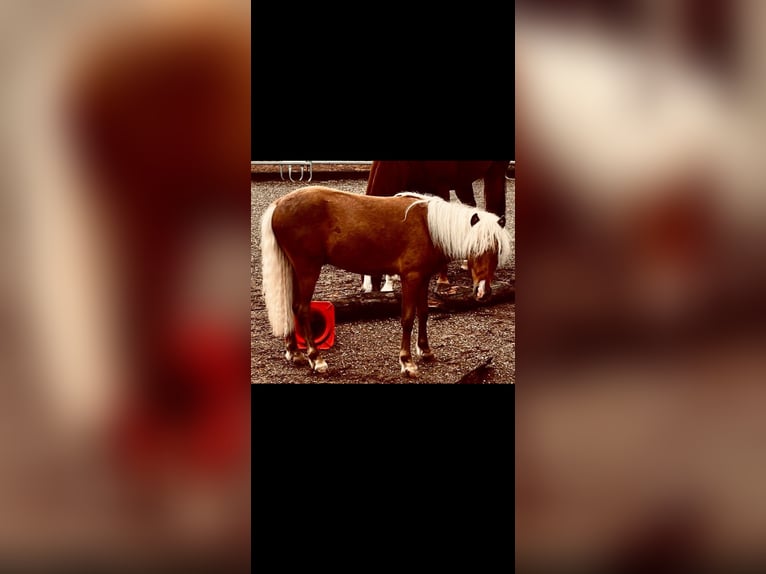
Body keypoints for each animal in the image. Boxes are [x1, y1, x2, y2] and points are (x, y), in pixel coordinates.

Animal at [260, 186, 512, 378]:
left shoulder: (423, 279)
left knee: (290, 306)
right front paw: (407, 363)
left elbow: (423, 313)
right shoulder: (411, 278)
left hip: (294, 270)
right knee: (302, 308)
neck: (429, 227)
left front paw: (425, 351)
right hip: (307, 270)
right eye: (476, 248)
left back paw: (295, 353)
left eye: (497, 250)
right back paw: (316, 359)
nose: (483, 292)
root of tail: (279, 204)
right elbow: (408, 318)